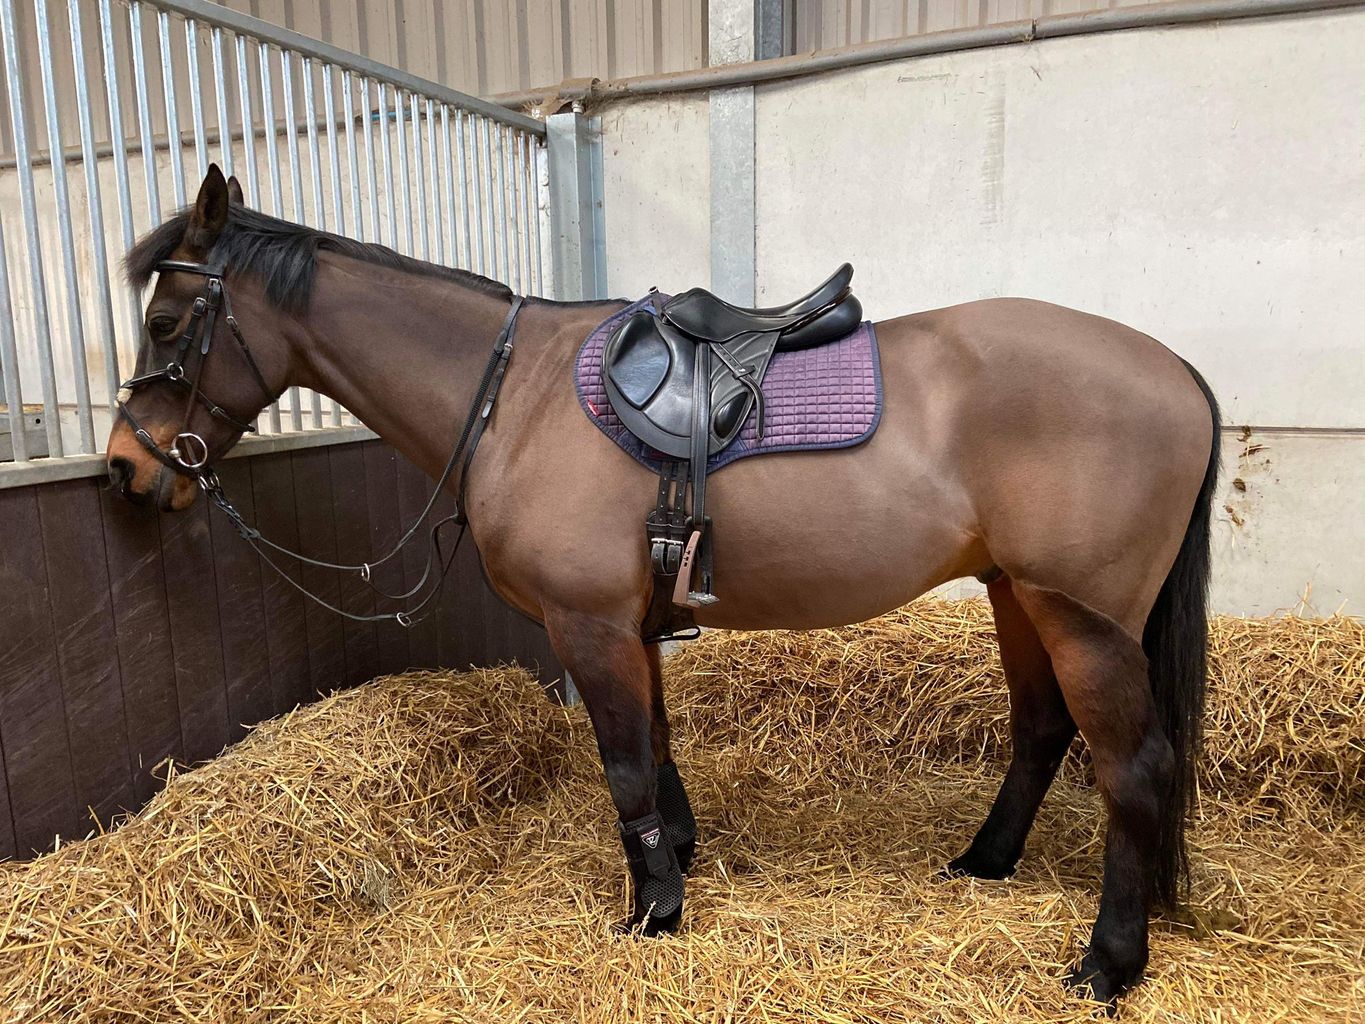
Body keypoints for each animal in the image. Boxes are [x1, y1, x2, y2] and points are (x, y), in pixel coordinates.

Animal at [108, 166, 1220, 1005]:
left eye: (166, 321)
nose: (125, 467)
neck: (515, 396)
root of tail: (1173, 368)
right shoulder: (633, 623)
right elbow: (657, 744)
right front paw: (676, 860)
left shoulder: (589, 624)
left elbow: (625, 764)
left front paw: (652, 908)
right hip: (1016, 595)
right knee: (1040, 728)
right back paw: (985, 860)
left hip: (1083, 620)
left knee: (1134, 769)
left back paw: (1108, 962)